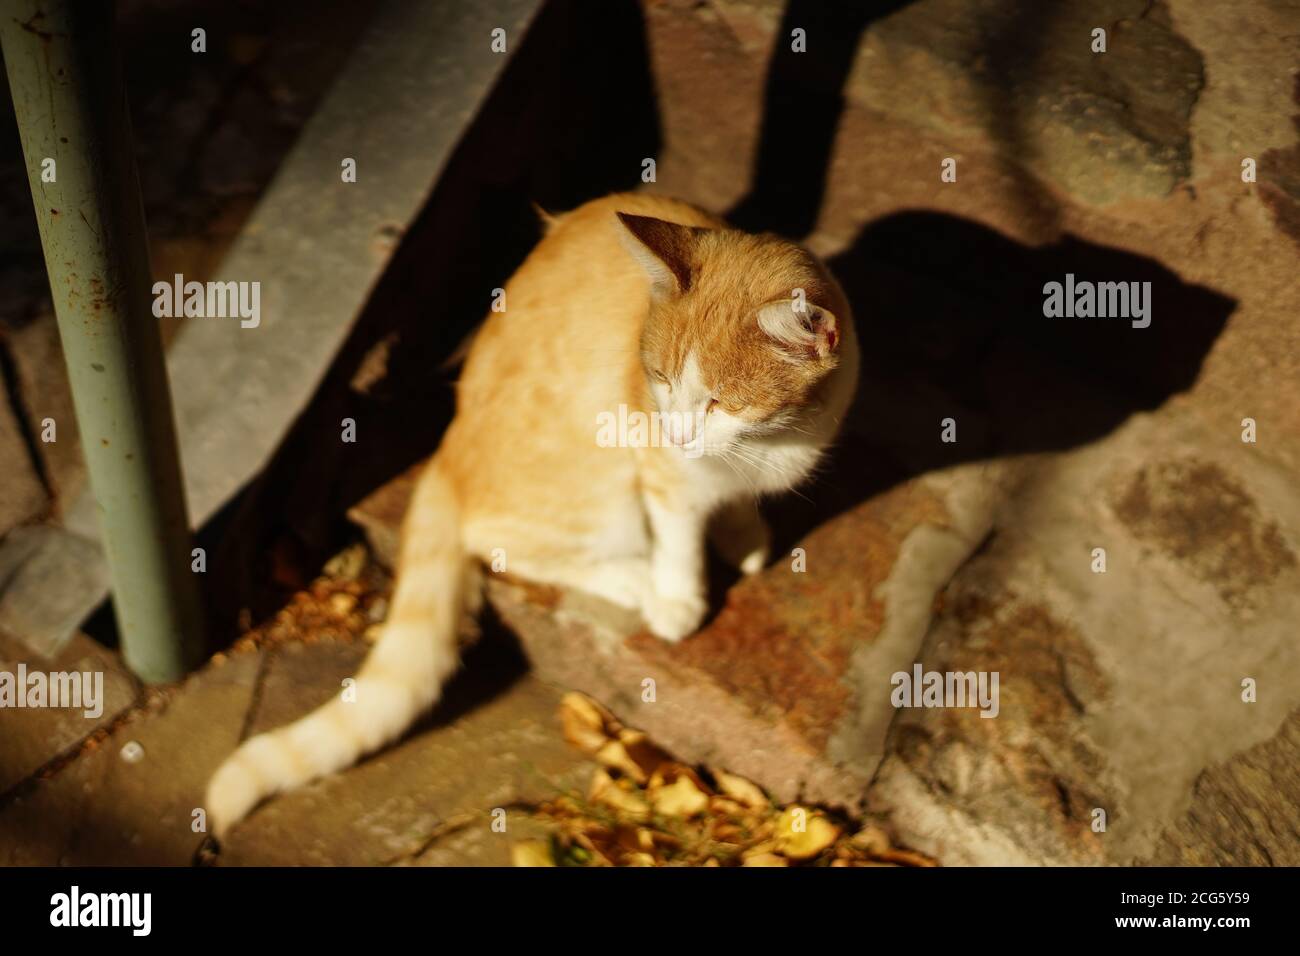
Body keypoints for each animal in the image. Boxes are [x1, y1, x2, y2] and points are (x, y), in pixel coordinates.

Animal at [205, 191, 852, 832]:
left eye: (722, 402)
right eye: (662, 380)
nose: (678, 432)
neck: (770, 443)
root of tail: (448, 445)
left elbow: (735, 507)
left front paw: (743, 536)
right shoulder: (657, 465)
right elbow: (679, 534)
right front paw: (679, 596)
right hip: (597, 485)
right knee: (505, 544)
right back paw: (633, 577)